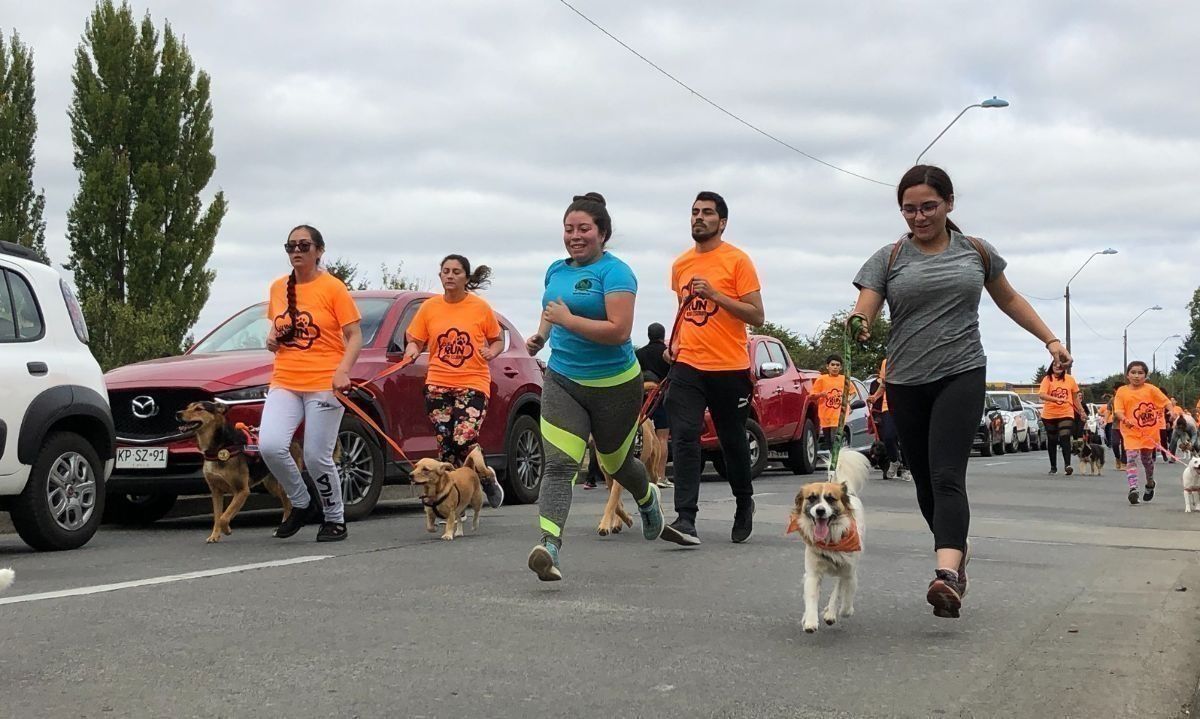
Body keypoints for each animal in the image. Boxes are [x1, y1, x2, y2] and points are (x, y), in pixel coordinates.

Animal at [175, 403, 297, 542]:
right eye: (188, 407)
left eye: (199, 409)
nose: (178, 413)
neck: (218, 447)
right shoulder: (216, 492)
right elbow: (217, 516)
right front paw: (214, 536)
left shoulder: (242, 490)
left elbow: (224, 517)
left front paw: (226, 530)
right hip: (272, 485)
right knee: (287, 504)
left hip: (283, 483)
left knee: (290, 502)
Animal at [787, 453, 864, 633]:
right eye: (812, 498)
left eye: (830, 499)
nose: (820, 511)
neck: (831, 540)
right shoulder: (813, 572)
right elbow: (811, 596)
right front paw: (810, 620)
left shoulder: (847, 570)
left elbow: (840, 594)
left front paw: (835, 612)